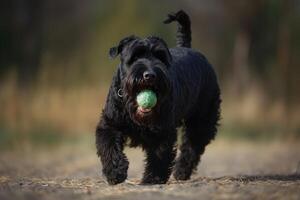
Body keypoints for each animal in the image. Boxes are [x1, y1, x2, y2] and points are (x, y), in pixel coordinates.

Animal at [96, 9, 220, 184]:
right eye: (135, 56)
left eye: (160, 56)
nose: (150, 75)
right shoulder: (110, 124)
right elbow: (109, 147)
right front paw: (115, 172)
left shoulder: (163, 131)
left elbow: (159, 156)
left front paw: (152, 179)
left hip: (202, 120)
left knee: (192, 147)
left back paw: (181, 171)